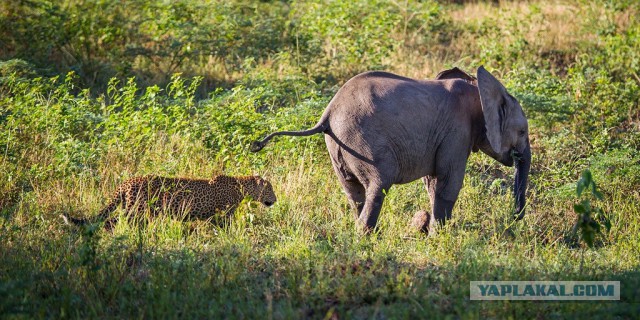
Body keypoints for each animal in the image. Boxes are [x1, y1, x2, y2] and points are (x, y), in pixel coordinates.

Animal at [61, 174, 276, 229]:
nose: (275, 199)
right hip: (135, 209)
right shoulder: (224, 213)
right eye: (270, 189)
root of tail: (126, 182)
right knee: (112, 221)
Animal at [251, 67, 528, 232]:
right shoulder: (457, 131)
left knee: (353, 192)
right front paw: (440, 236)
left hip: (338, 147)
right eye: (523, 132)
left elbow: (433, 183)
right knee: (378, 185)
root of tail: (327, 114)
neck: (478, 91)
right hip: (363, 140)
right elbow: (448, 182)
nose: (515, 218)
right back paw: (367, 237)